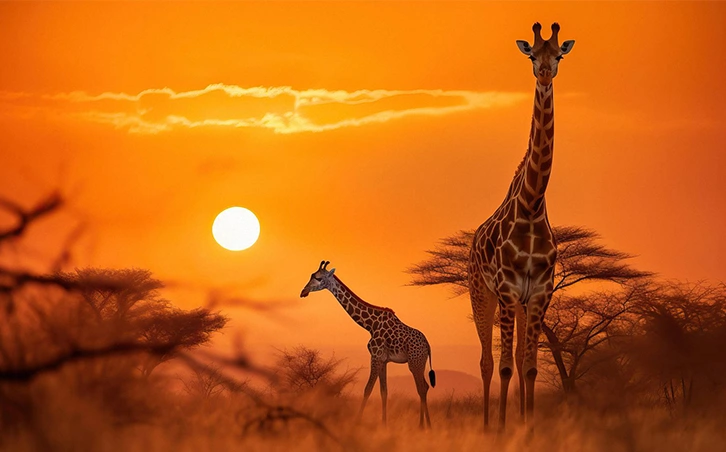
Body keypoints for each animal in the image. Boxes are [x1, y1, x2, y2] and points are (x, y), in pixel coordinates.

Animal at [300, 260, 436, 428]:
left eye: (319, 278)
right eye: (312, 275)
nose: (303, 291)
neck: (370, 325)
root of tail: (428, 345)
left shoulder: (375, 356)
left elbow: (367, 389)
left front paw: (357, 423)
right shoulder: (383, 360)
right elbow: (383, 391)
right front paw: (384, 424)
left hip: (415, 362)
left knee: (421, 388)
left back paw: (424, 426)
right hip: (420, 362)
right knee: (425, 387)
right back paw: (425, 425)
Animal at [468, 22, 575, 431]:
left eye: (558, 55)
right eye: (531, 56)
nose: (544, 74)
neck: (531, 205)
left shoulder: (541, 293)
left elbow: (528, 367)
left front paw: (529, 428)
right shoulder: (507, 290)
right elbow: (503, 367)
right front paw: (500, 430)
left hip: (521, 303)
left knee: (512, 357)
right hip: (480, 293)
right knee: (486, 361)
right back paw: (486, 425)